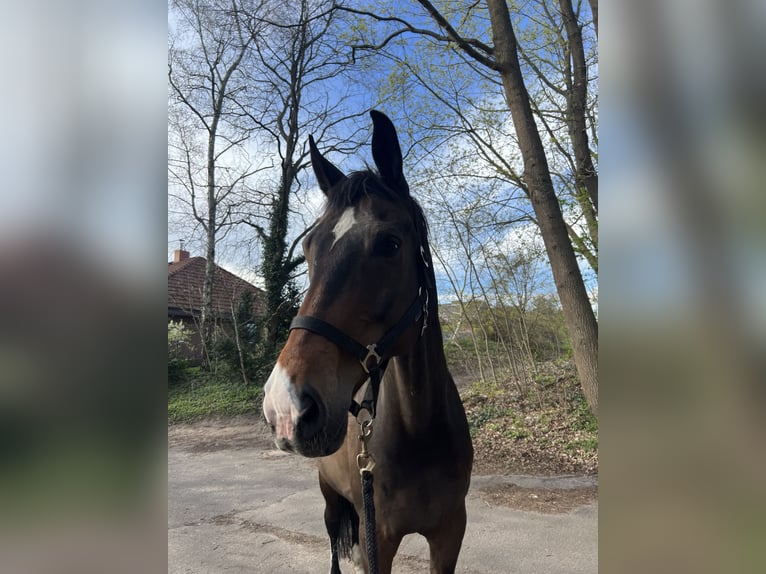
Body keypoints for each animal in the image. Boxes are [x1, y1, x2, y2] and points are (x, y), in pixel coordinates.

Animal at [262, 110, 473, 574]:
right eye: (308, 248)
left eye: (389, 244)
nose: (286, 405)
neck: (420, 430)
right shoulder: (379, 537)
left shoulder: (450, 533)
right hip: (333, 507)